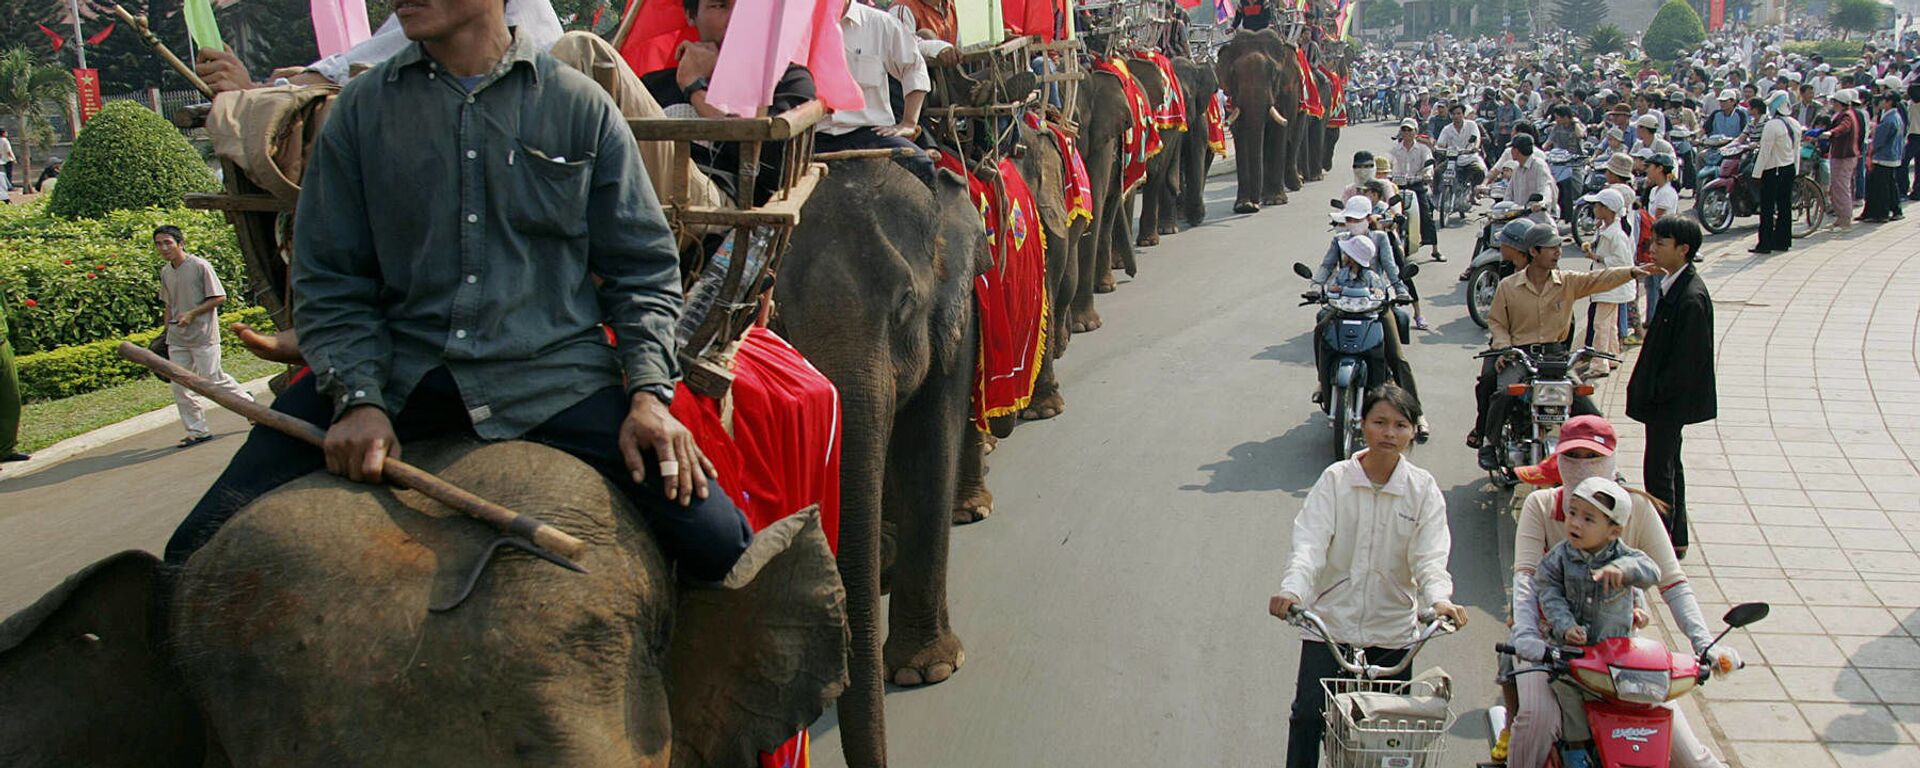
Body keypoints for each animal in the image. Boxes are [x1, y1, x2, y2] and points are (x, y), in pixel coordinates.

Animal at [1213, 28, 1305, 213]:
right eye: (1234, 74)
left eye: (1274, 73)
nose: (1254, 205)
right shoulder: (1233, 100)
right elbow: (1241, 133)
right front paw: (1243, 205)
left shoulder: (1285, 91)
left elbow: (1280, 130)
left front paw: (1276, 201)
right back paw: (1265, 194)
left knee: (1293, 137)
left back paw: (1294, 184)